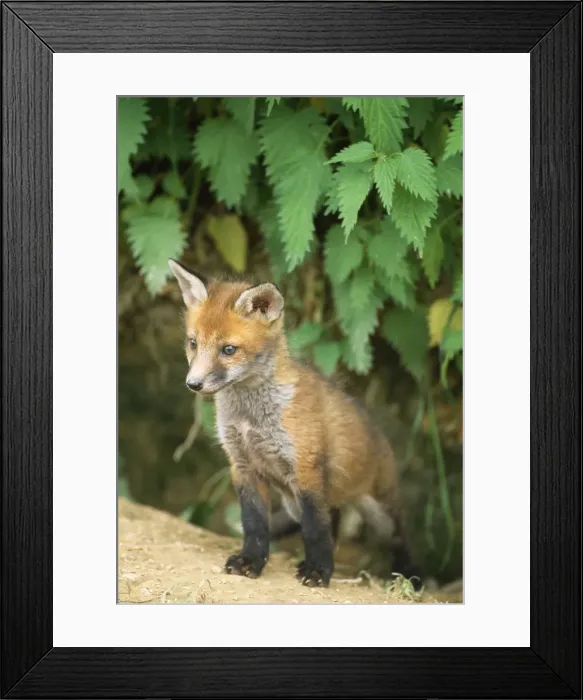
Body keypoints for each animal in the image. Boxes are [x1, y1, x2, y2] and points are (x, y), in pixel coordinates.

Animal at [168, 258, 420, 588]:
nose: (193, 384)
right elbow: (255, 524)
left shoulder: (305, 468)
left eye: (228, 350)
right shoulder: (243, 466)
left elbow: (314, 530)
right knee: (333, 522)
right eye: (193, 343)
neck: (251, 418)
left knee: (399, 537)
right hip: (294, 501)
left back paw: (410, 577)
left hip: (378, 510)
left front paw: (318, 572)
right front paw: (251, 561)